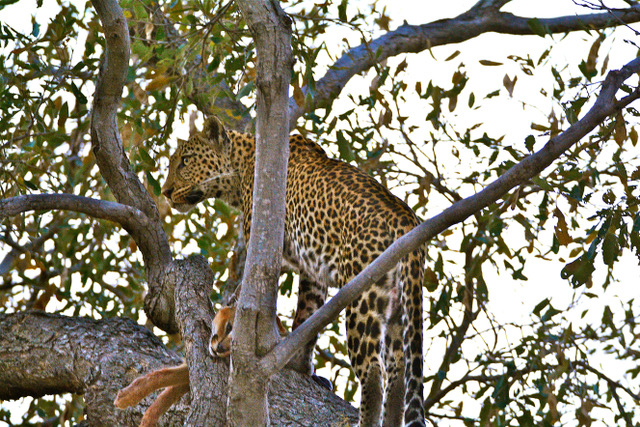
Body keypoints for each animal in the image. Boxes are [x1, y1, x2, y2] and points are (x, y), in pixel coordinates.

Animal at [161, 116, 426, 427]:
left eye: (185, 161)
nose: (165, 192)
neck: (242, 165)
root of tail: (407, 221)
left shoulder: (266, 244)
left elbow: (248, 289)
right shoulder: (312, 270)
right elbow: (307, 315)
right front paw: (300, 366)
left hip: (364, 296)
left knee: (373, 371)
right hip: (397, 303)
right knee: (398, 369)